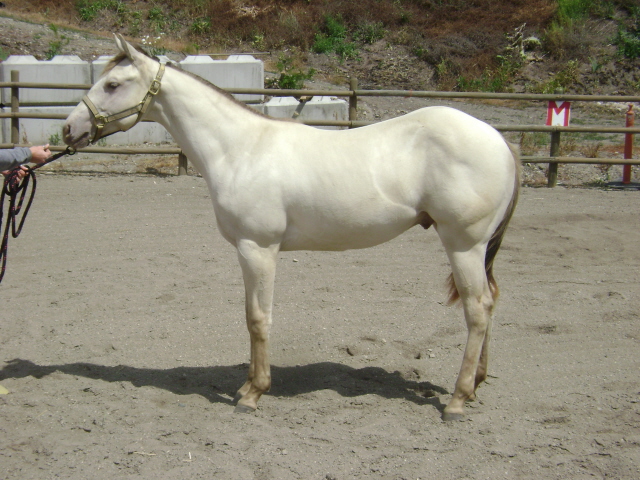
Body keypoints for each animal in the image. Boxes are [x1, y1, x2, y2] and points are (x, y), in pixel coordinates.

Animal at [63, 35, 520, 421]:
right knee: (490, 302)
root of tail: (498, 139)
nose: (69, 129)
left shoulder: (257, 248)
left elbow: (258, 319)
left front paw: (253, 393)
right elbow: (250, 316)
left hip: (463, 244)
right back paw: (475, 385)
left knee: (477, 309)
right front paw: (246, 385)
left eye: (112, 84)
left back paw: (457, 400)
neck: (240, 150)